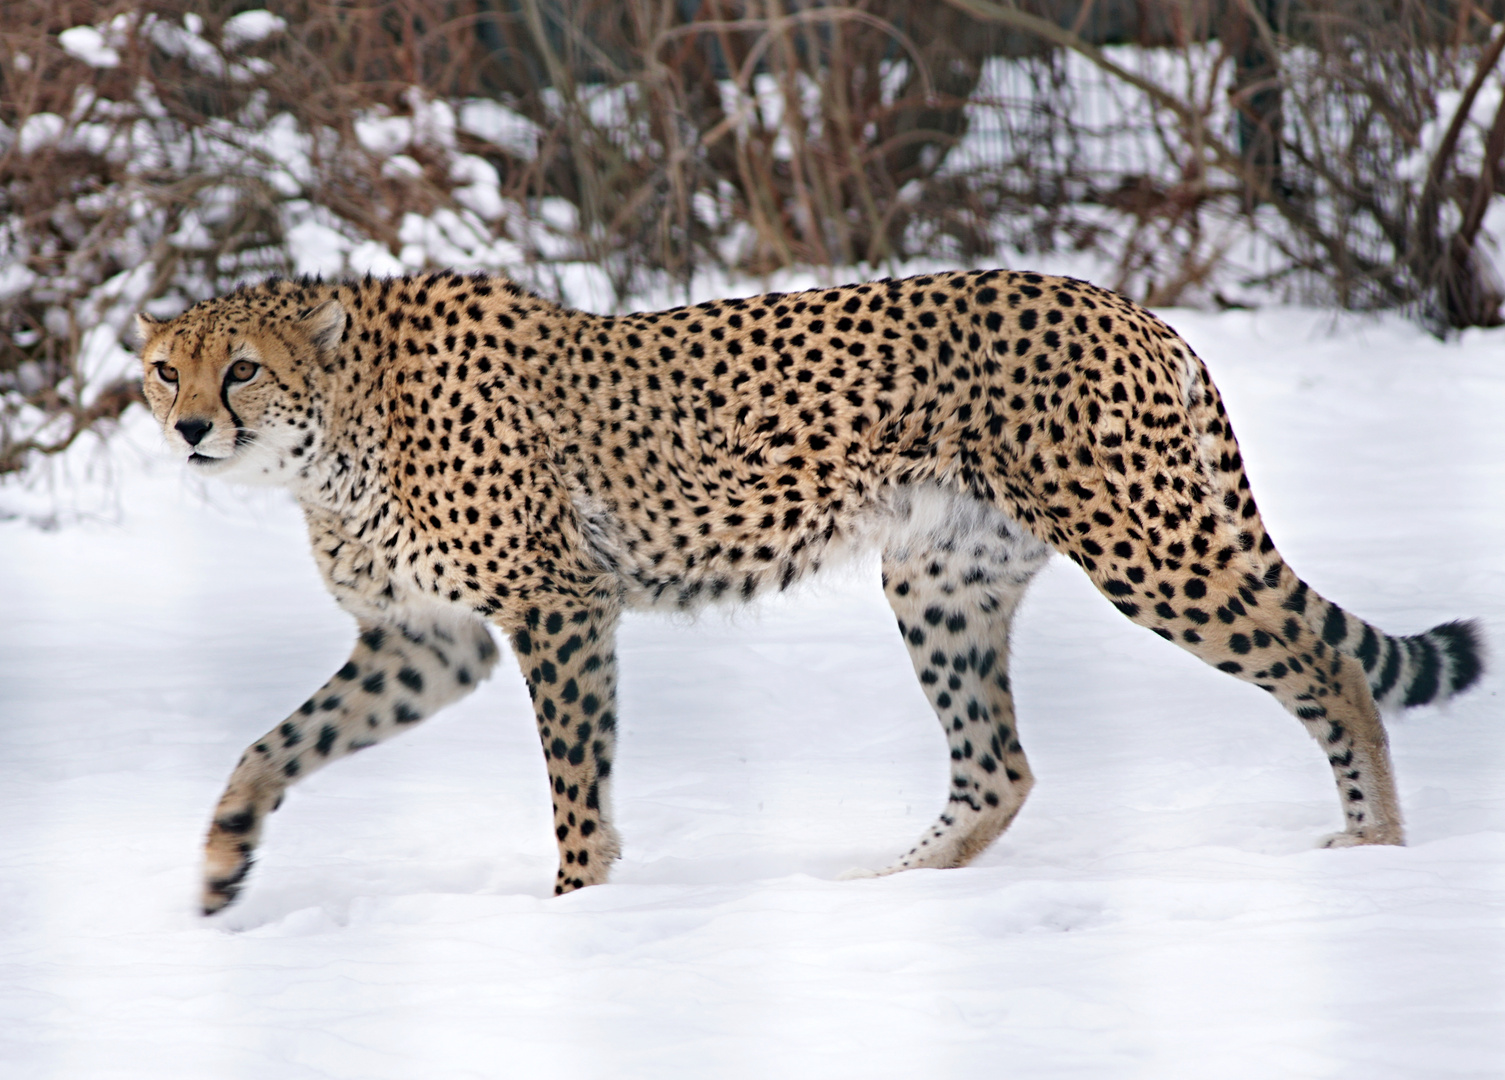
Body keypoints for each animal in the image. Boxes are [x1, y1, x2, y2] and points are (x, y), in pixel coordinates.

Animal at [138, 269, 1480, 914]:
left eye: (240, 368)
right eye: (163, 369)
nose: (192, 427)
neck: (334, 429)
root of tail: (1127, 307)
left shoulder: (556, 604)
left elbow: (573, 787)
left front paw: (574, 917)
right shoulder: (426, 639)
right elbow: (275, 743)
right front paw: (220, 865)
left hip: (1146, 546)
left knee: (1328, 667)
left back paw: (1370, 851)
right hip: (936, 573)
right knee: (997, 767)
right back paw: (881, 895)